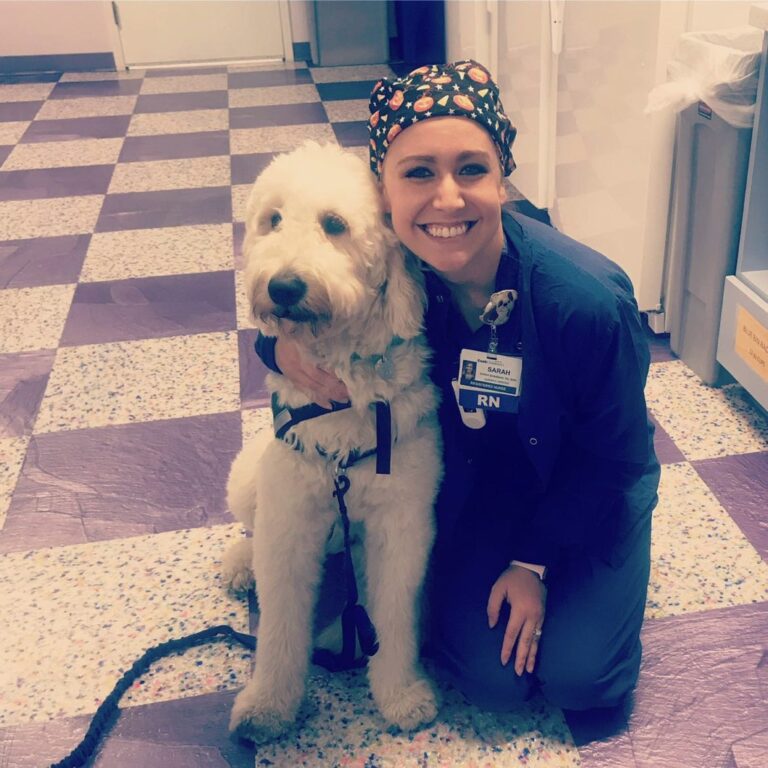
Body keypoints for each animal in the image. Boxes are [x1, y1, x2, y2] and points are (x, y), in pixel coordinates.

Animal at [222, 144, 440, 744]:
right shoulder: (288, 523)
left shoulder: (402, 524)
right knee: (248, 530)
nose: (284, 287)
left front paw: (400, 694)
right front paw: (268, 707)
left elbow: (394, 612)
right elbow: (278, 625)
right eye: (272, 220)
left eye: (335, 224)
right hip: (249, 475)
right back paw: (239, 564)